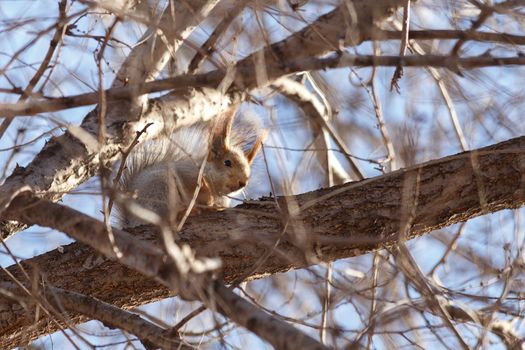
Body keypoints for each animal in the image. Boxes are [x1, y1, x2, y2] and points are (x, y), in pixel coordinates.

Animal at [113, 105, 264, 228]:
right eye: (227, 162)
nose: (243, 182)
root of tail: (132, 220)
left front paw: (213, 206)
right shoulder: (188, 174)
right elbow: (190, 185)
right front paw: (207, 197)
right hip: (160, 190)